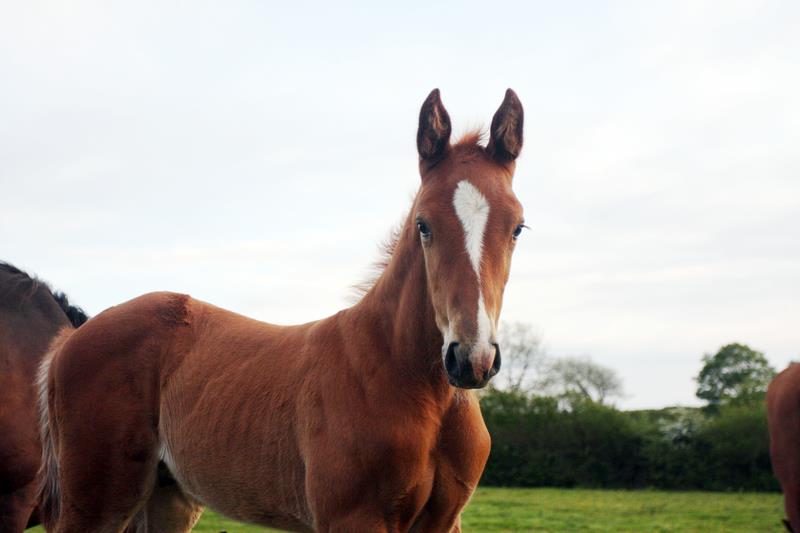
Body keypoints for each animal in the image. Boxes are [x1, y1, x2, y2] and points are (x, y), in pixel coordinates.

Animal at [37, 88, 528, 532]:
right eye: (423, 224)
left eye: (518, 227)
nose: (471, 358)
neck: (408, 380)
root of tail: (69, 341)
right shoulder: (352, 518)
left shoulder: (445, 520)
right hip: (95, 502)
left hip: (166, 497)